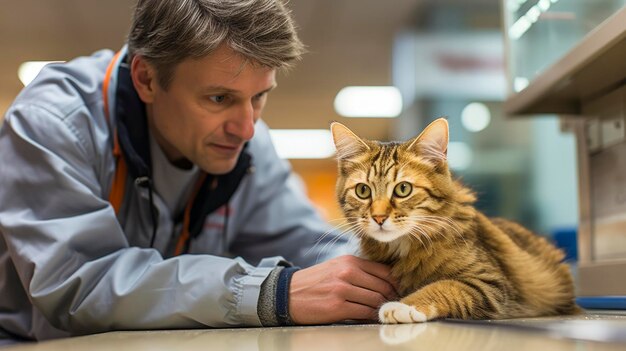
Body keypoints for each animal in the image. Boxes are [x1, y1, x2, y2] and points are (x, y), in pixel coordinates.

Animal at [330, 118, 576, 324]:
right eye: (363, 191)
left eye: (403, 189)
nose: (379, 217)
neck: (403, 246)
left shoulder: (488, 283)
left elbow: (443, 286)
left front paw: (403, 306)